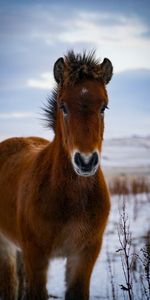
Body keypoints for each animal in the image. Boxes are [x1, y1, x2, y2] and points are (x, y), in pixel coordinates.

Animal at [0, 51, 112, 300]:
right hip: (5, 245)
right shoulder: (36, 255)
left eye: (104, 107)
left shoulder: (85, 254)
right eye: (63, 107)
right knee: (10, 286)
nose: (86, 161)